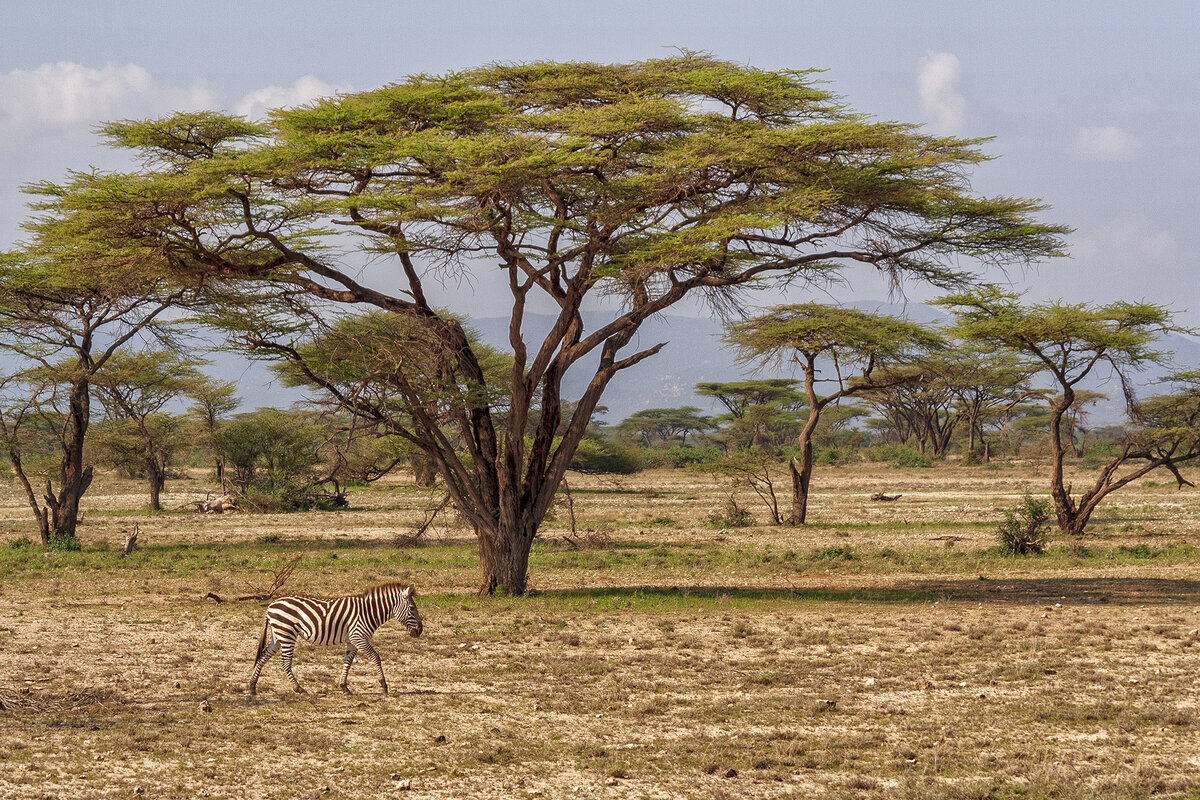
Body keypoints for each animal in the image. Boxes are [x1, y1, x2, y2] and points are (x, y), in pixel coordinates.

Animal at [246, 582, 424, 695]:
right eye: (412, 608)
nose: (420, 631)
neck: (369, 612)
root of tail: (271, 605)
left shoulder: (352, 641)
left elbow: (348, 662)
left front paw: (344, 687)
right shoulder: (359, 636)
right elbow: (376, 657)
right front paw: (384, 685)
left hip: (278, 635)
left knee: (263, 656)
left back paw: (252, 686)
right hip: (287, 633)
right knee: (284, 663)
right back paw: (299, 689)